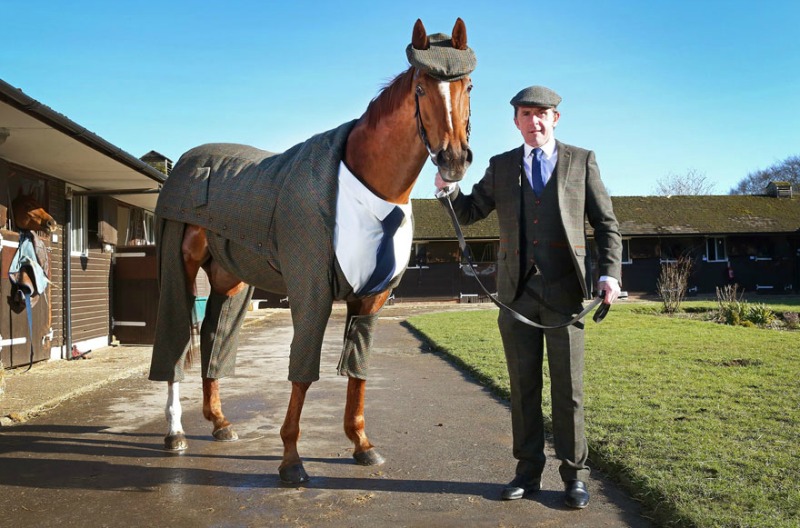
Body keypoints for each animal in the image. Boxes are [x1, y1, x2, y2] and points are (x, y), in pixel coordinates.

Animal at [152, 18, 476, 484]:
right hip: (179, 268)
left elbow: (357, 373)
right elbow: (303, 374)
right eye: (420, 87)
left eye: (468, 85)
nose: (454, 159)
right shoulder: (311, 293)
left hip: (230, 281)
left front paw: (362, 445)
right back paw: (175, 432)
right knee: (175, 345)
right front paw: (291, 460)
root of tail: (185, 163)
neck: (366, 189)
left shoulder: (370, 299)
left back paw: (220, 423)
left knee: (214, 341)